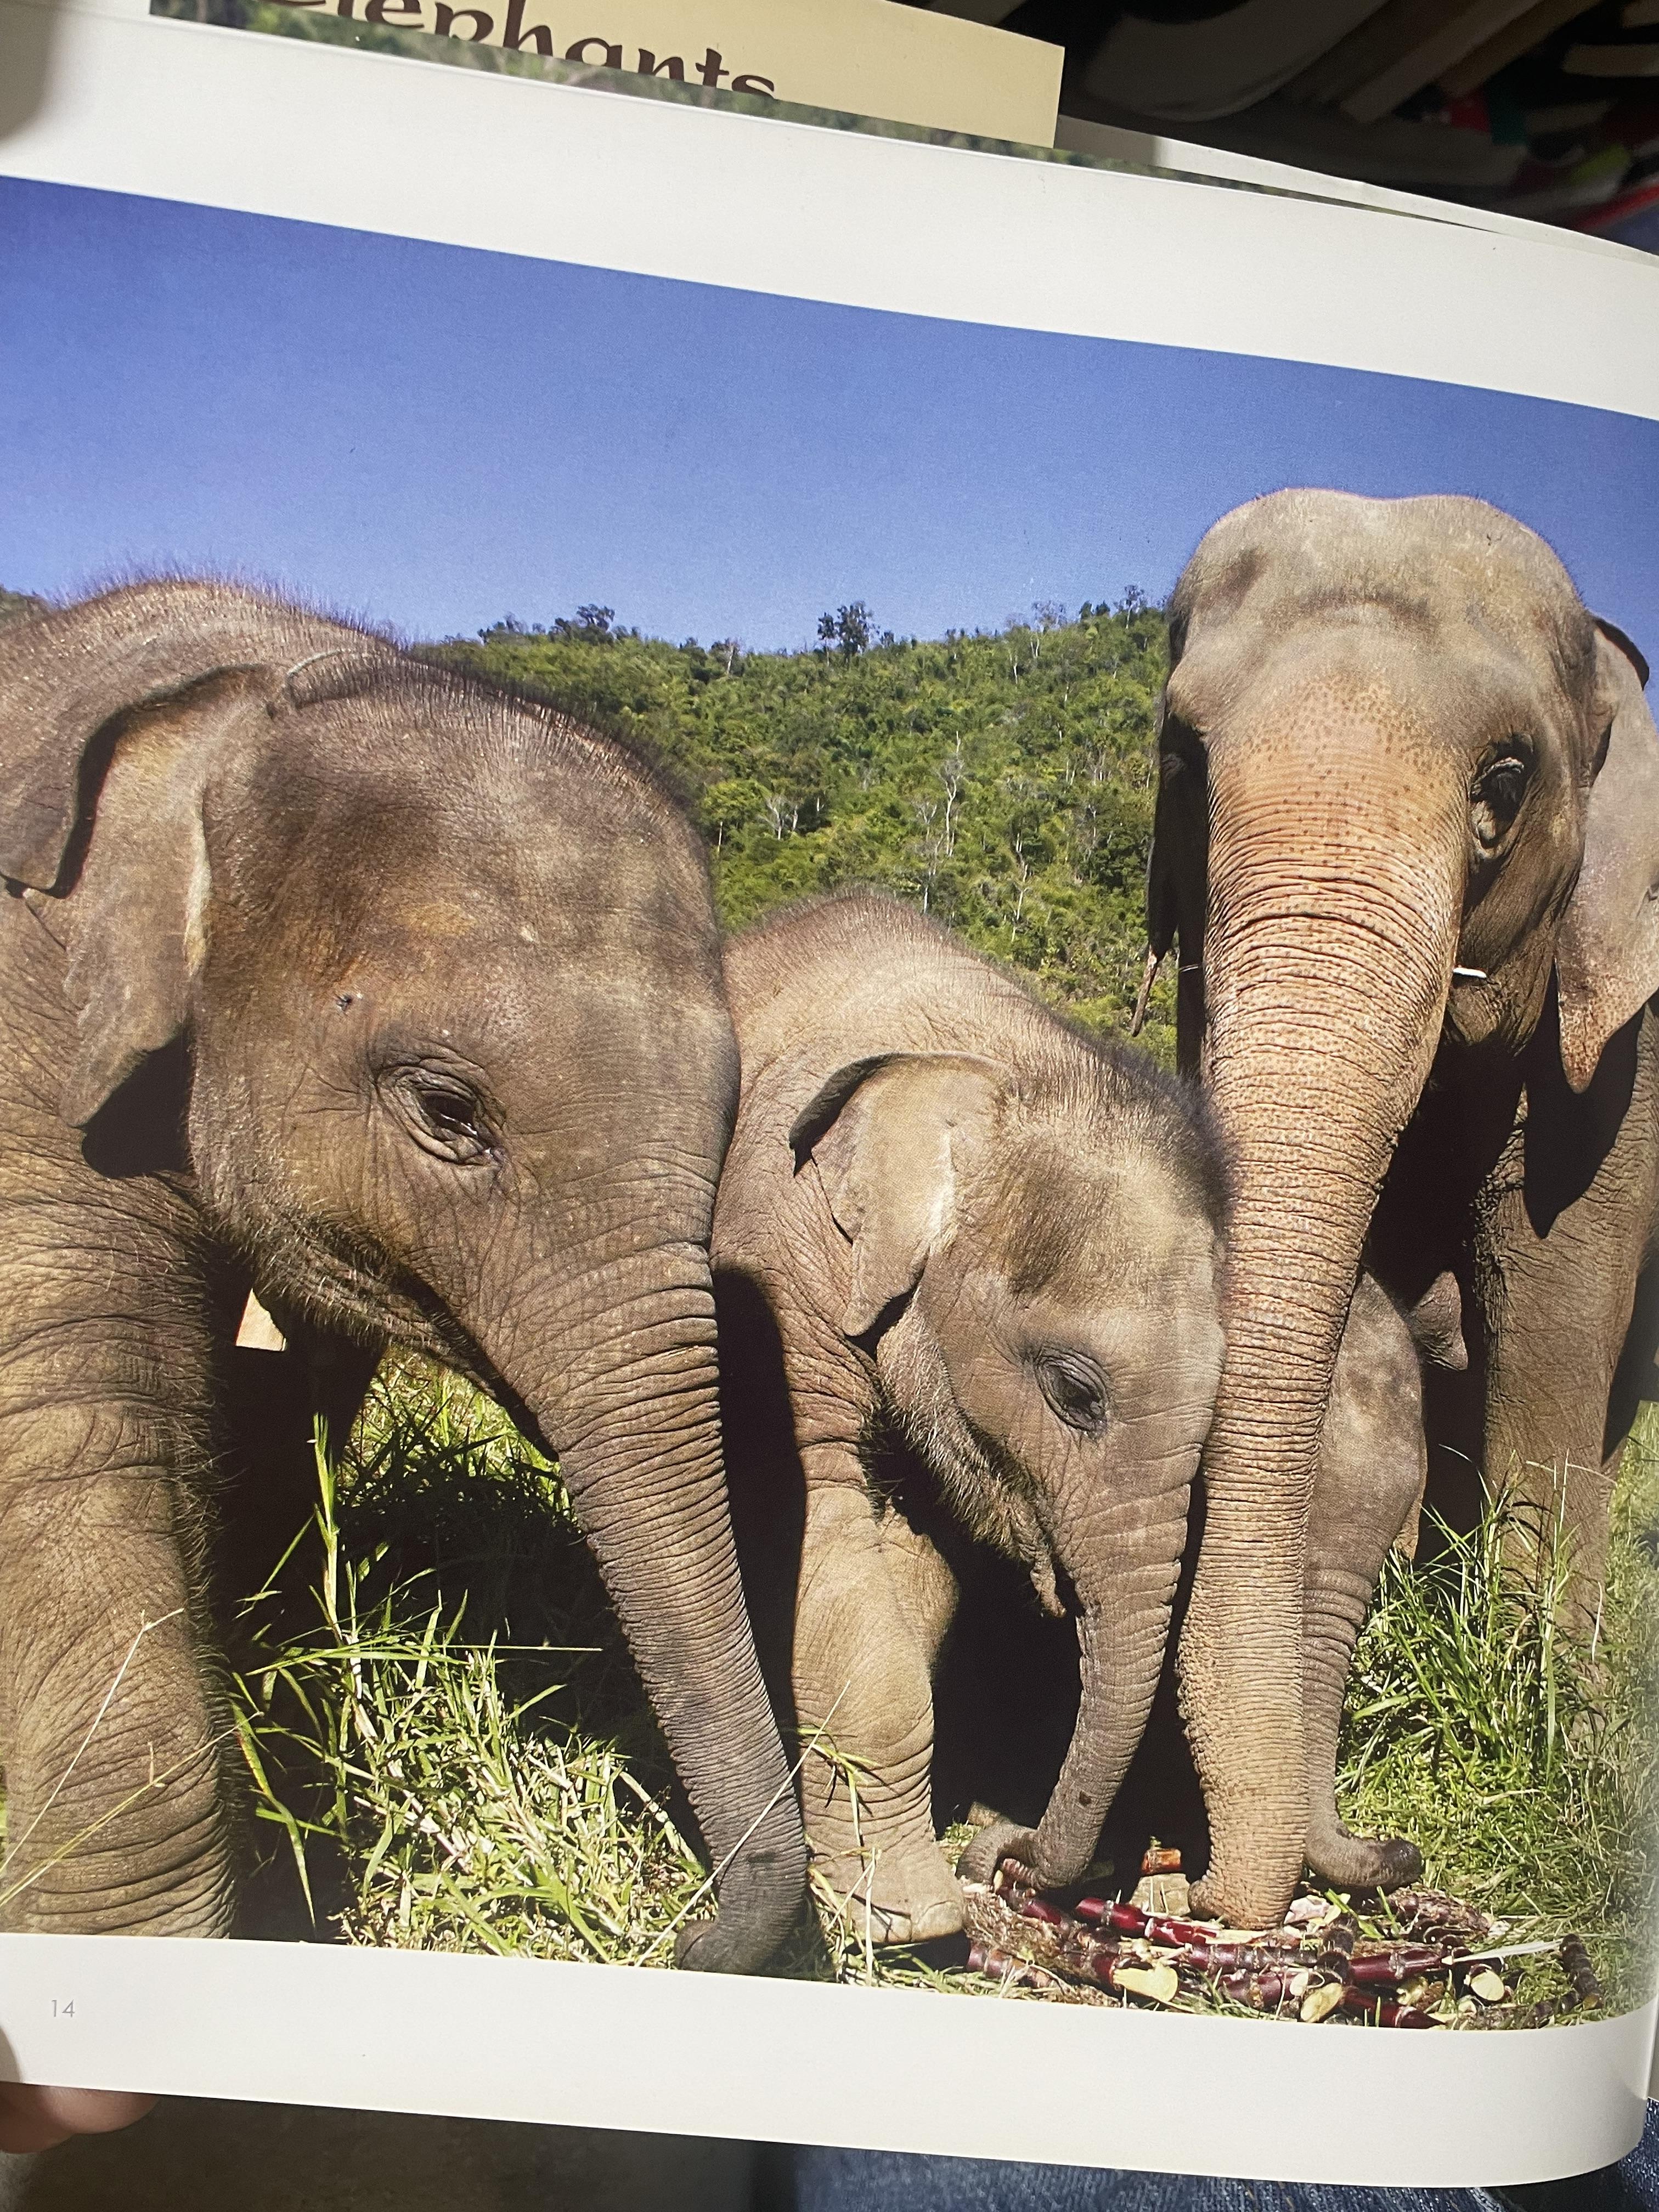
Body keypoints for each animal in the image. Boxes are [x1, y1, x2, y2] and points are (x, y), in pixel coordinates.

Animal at [711, 890, 1226, 1938]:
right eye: (1074, 1393)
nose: (1006, 1858)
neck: (1000, 1061)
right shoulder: (777, 1246)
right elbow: (810, 1520)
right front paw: (913, 1922)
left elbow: (916, 1577)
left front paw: (880, 1898)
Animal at [1139, 488, 1659, 1928]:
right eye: (1184, 761)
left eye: (1504, 786)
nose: (1398, 1855)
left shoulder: (1622, 1038)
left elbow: (1549, 1297)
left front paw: (1560, 1750)